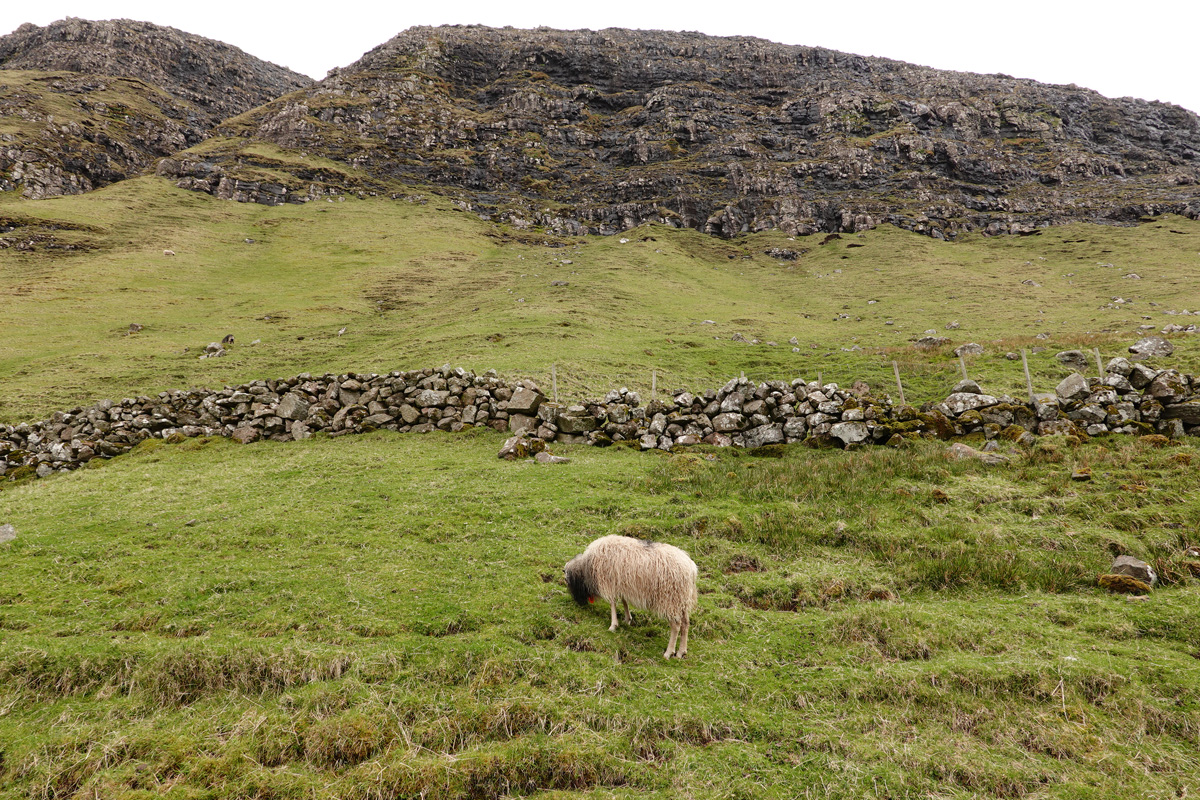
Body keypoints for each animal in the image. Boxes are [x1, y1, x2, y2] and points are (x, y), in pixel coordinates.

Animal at [564, 534, 700, 662]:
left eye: (567, 581)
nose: (578, 603)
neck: (587, 566)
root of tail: (692, 569)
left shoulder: (609, 582)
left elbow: (613, 603)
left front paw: (613, 625)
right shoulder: (622, 584)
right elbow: (624, 601)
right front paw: (627, 619)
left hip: (670, 600)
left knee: (676, 626)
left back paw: (669, 652)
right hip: (682, 601)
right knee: (685, 624)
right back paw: (681, 652)